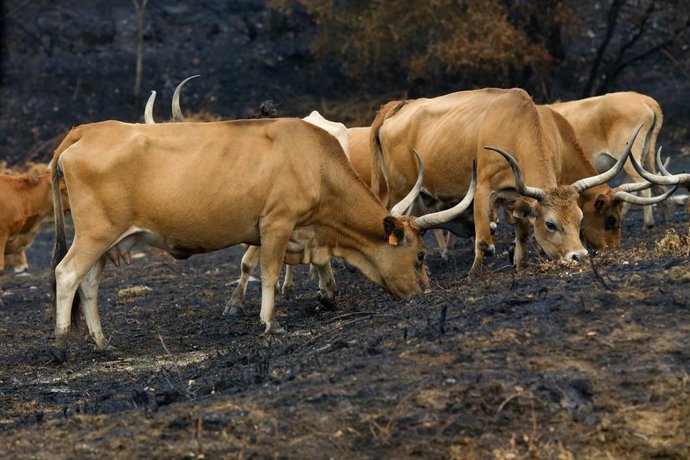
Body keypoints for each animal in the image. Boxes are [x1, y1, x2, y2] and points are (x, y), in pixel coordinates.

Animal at [49, 117, 480, 362]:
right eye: (420, 255)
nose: (424, 292)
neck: (314, 161)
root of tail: (88, 130)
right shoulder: (277, 223)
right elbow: (269, 273)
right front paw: (270, 323)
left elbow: (316, 264)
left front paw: (326, 295)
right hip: (95, 233)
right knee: (67, 274)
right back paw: (60, 344)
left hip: (110, 240)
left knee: (89, 283)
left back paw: (103, 342)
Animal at [370, 88, 648, 277]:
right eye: (550, 224)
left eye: (579, 219)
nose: (578, 256)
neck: (515, 128)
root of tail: (397, 107)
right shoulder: (482, 190)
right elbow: (484, 240)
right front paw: (475, 274)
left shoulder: (518, 196)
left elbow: (522, 231)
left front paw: (519, 263)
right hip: (402, 189)